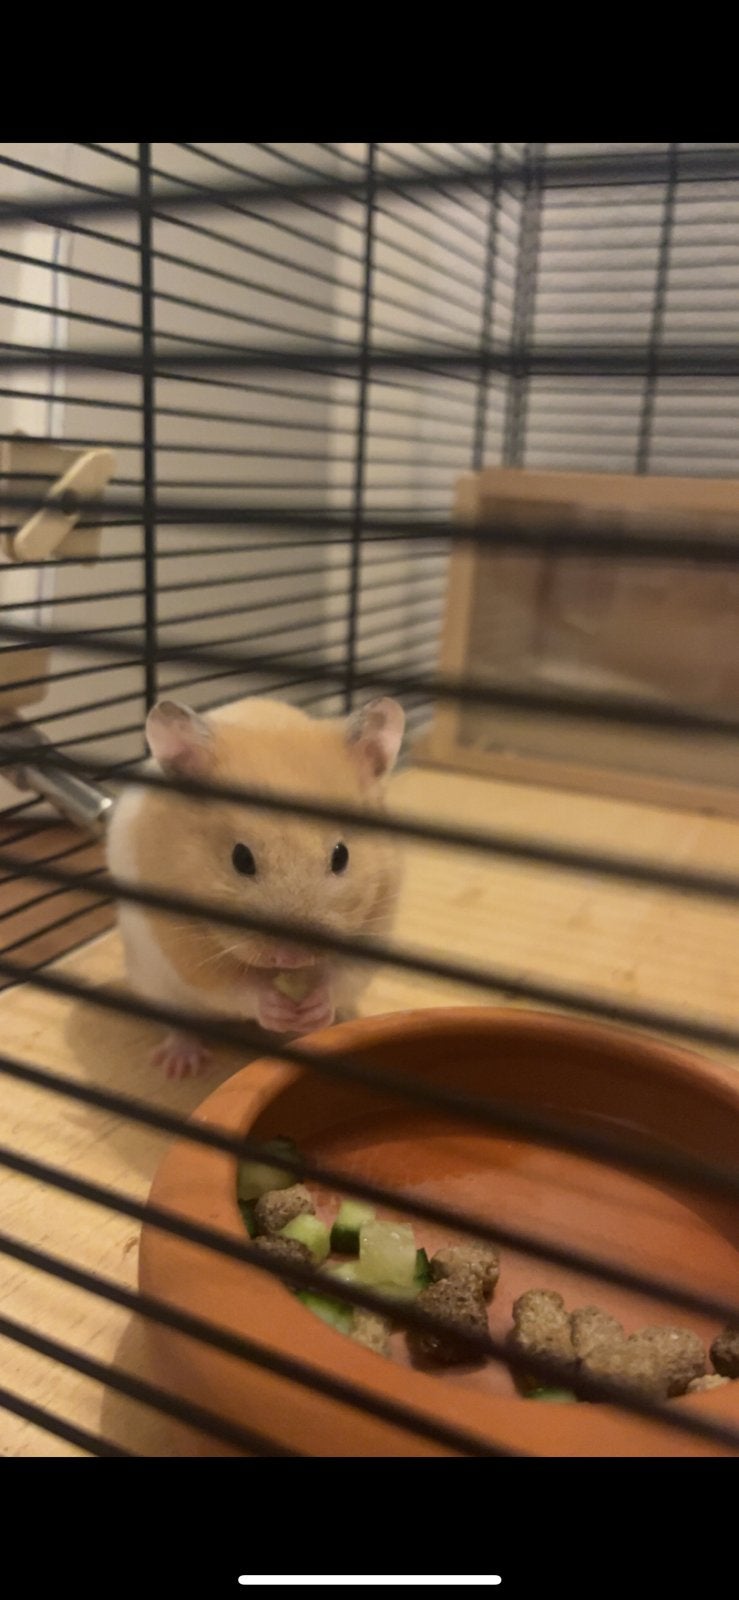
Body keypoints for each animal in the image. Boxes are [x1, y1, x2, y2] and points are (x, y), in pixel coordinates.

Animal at [106, 694, 405, 1078]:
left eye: (341, 856)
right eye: (241, 859)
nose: (292, 958)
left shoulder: (376, 921)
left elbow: (342, 976)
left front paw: (310, 1014)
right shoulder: (181, 944)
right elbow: (234, 987)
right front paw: (281, 1012)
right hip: (154, 982)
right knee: (180, 1023)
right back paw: (179, 1065)